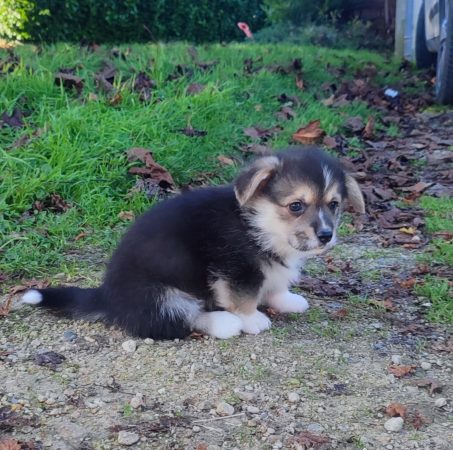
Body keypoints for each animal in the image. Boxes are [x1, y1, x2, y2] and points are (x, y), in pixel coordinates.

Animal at [23, 146, 364, 340]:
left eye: (334, 205)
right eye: (296, 206)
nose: (326, 235)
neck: (256, 222)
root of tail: (106, 297)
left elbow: (276, 283)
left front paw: (286, 300)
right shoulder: (236, 269)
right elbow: (244, 298)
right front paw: (252, 319)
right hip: (160, 293)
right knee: (176, 320)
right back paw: (223, 323)